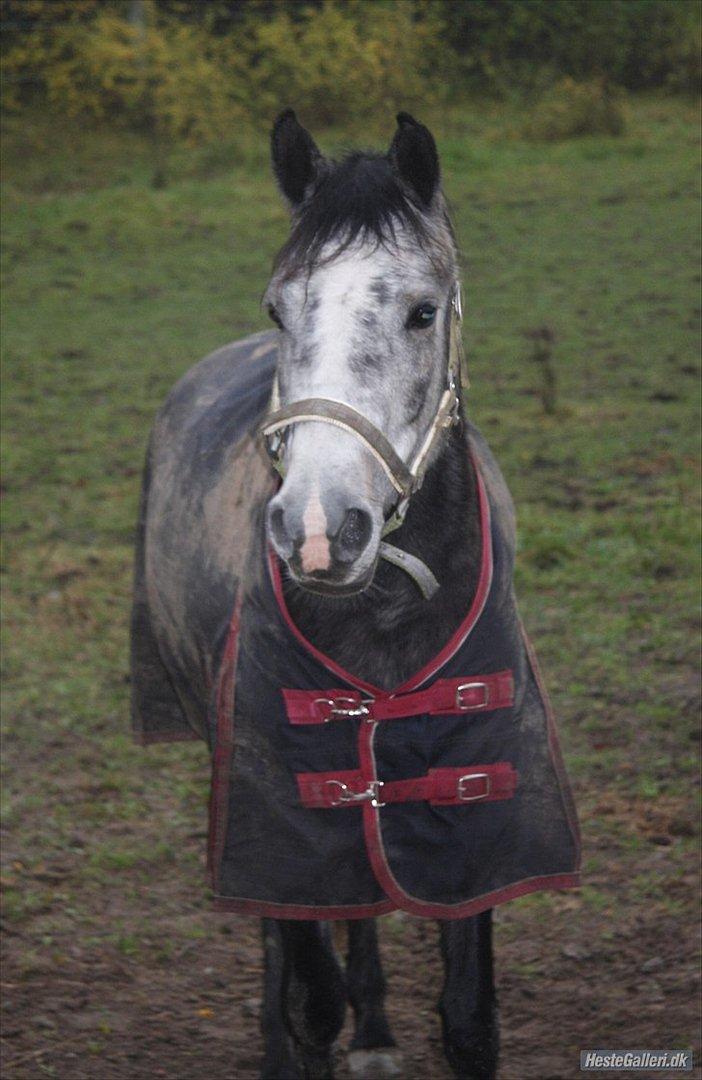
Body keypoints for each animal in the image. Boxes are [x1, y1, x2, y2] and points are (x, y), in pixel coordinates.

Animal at [131, 103, 578, 1080]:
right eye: (278, 307)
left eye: (422, 311)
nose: (318, 527)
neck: (388, 614)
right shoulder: (277, 793)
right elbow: (308, 991)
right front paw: (302, 1038)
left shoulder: (475, 807)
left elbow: (469, 1018)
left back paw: (375, 1034)